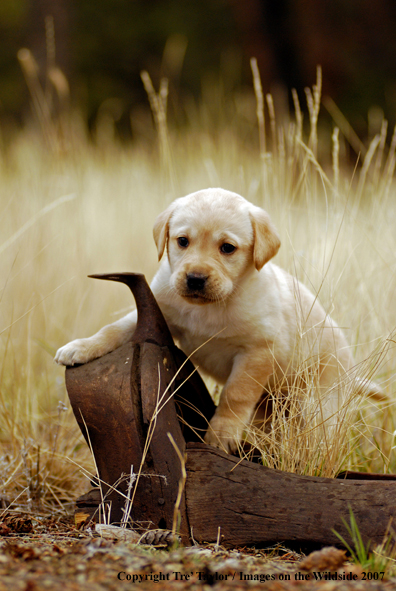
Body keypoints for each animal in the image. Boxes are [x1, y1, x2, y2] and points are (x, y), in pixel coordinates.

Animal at [55, 190, 378, 454]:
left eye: (227, 248)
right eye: (182, 241)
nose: (195, 278)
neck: (210, 308)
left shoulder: (259, 350)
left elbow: (235, 395)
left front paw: (221, 433)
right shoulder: (158, 313)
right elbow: (114, 329)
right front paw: (81, 347)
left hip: (318, 406)